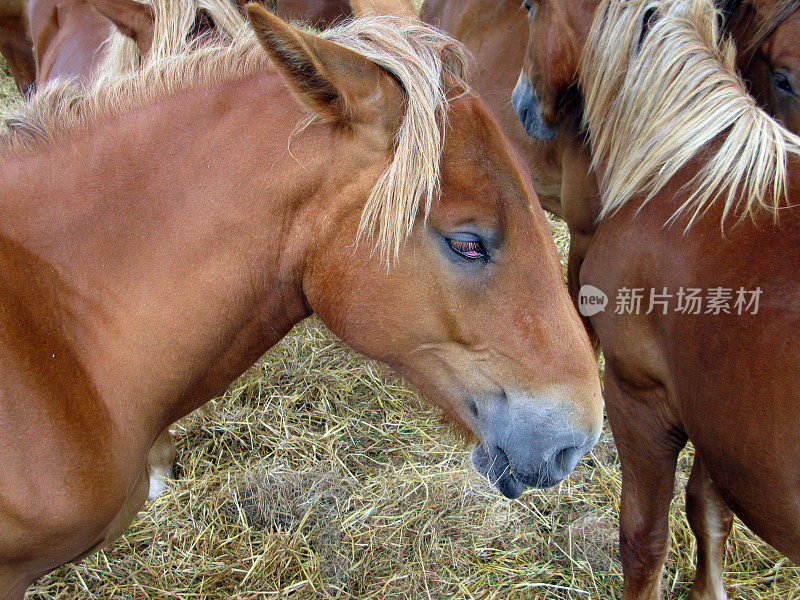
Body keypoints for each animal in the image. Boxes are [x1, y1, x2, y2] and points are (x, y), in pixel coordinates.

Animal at [512, 0, 800, 596]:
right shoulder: (715, 419)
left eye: (529, 7)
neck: (688, 165)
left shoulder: (640, 398)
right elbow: (710, 513)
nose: (521, 103)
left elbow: (644, 541)